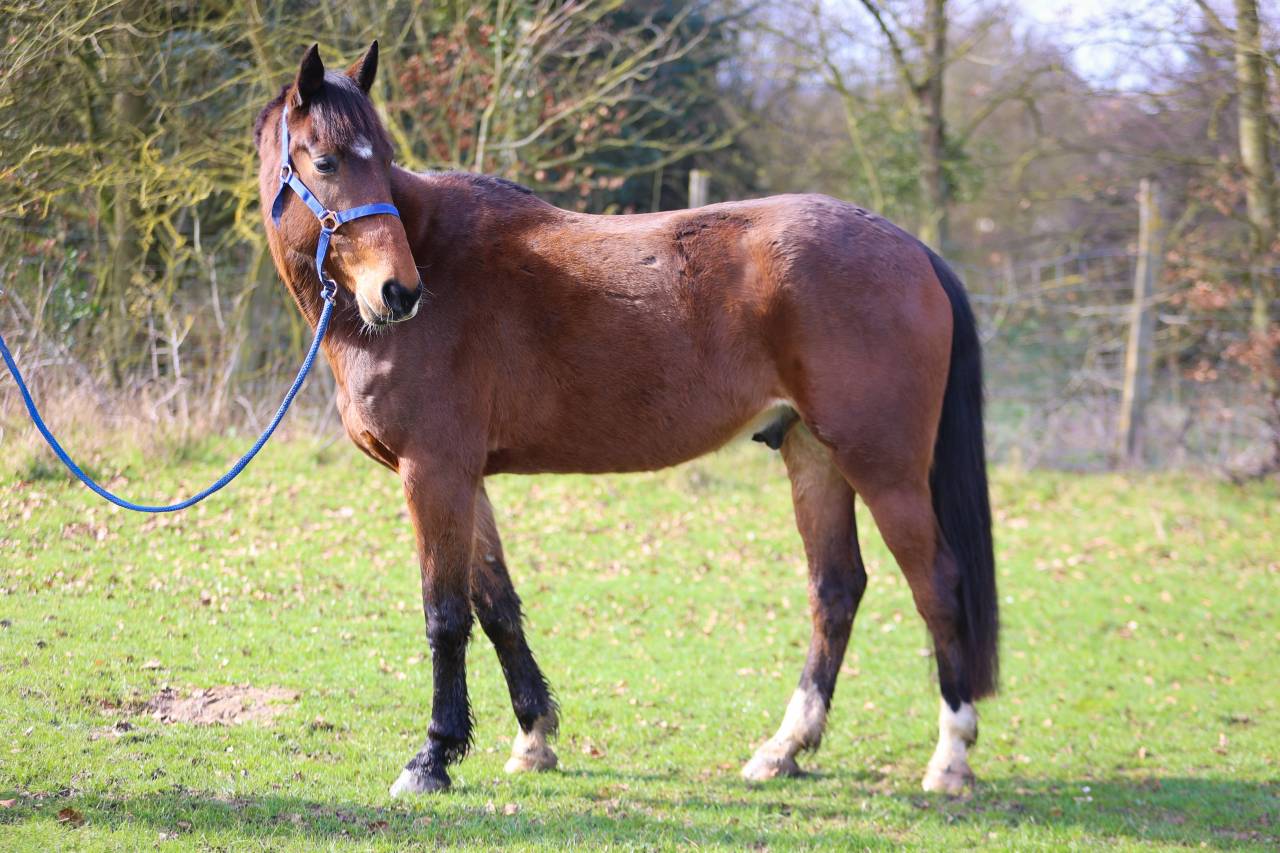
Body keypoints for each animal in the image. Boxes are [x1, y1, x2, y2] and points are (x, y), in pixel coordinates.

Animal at [255, 42, 998, 797]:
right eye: (326, 161)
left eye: (381, 158)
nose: (398, 292)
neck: (440, 262)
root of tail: (914, 250)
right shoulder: (466, 477)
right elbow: (497, 605)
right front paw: (533, 736)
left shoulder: (433, 473)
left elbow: (446, 614)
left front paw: (433, 756)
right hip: (814, 454)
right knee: (837, 590)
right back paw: (783, 748)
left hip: (884, 468)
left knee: (938, 586)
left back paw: (950, 758)